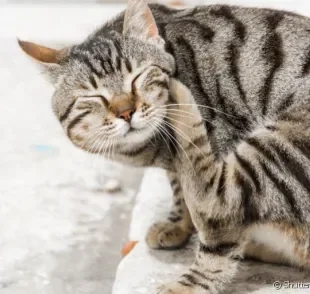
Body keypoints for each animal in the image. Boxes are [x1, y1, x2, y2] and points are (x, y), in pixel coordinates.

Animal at [18, 0, 310, 294]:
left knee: (218, 203)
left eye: (137, 77)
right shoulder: (176, 165)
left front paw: (197, 277)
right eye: (95, 97)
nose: (126, 112)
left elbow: (215, 233)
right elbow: (179, 189)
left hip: (282, 142)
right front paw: (177, 225)